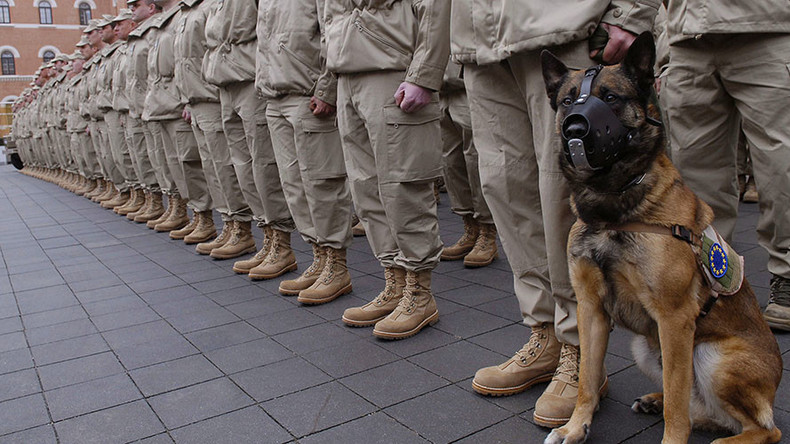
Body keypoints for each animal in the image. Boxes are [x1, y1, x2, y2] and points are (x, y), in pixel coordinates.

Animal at [540, 32, 784, 444]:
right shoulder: (591, 310)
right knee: (705, 410)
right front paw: (575, 427)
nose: (574, 129)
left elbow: (677, 402)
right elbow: (588, 379)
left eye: (610, 97)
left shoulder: (674, 320)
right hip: (645, 346)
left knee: (764, 429)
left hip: (711, 357)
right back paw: (659, 402)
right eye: (568, 100)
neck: (613, 210)